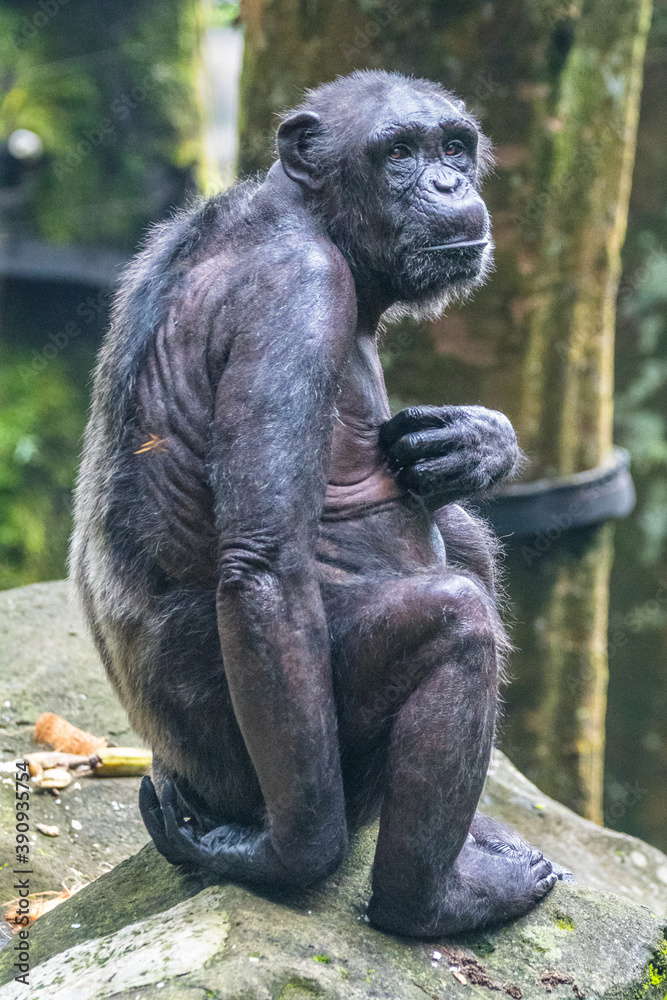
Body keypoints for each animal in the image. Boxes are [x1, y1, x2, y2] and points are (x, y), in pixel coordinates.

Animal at [72, 72, 576, 936]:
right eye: (397, 153)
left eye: (452, 147)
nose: (448, 185)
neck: (312, 221)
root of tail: (173, 768)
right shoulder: (297, 299)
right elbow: (265, 562)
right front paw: (288, 859)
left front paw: (477, 441)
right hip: (264, 777)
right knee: (451, 622)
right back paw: (430, 899)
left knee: (462, 537)